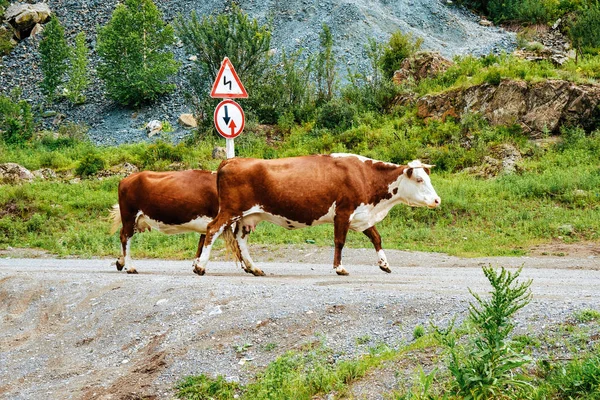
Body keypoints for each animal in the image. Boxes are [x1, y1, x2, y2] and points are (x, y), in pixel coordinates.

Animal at [109, 169, 243, 276]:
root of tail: (127, 178)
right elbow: (236, 244)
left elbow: (202, 243)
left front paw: (196, 266)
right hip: (129, 216)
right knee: (125, 237)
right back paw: (131, 268)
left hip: (135, 220)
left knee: (122, 234)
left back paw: (120, 262)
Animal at [192, 155, 440, 276]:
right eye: (420, 180)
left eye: (428, 178)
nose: (437, 200)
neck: (364, 176)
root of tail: (233, 159)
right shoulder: (343, 212)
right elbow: (339, 241)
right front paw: (339, 268)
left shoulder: (362, 215)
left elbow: (376, 238)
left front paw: (385, 264)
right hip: (230, 211)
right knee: (212, 230)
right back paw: (200, 266)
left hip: (247, 217)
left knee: (241, 240)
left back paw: (254, 269)